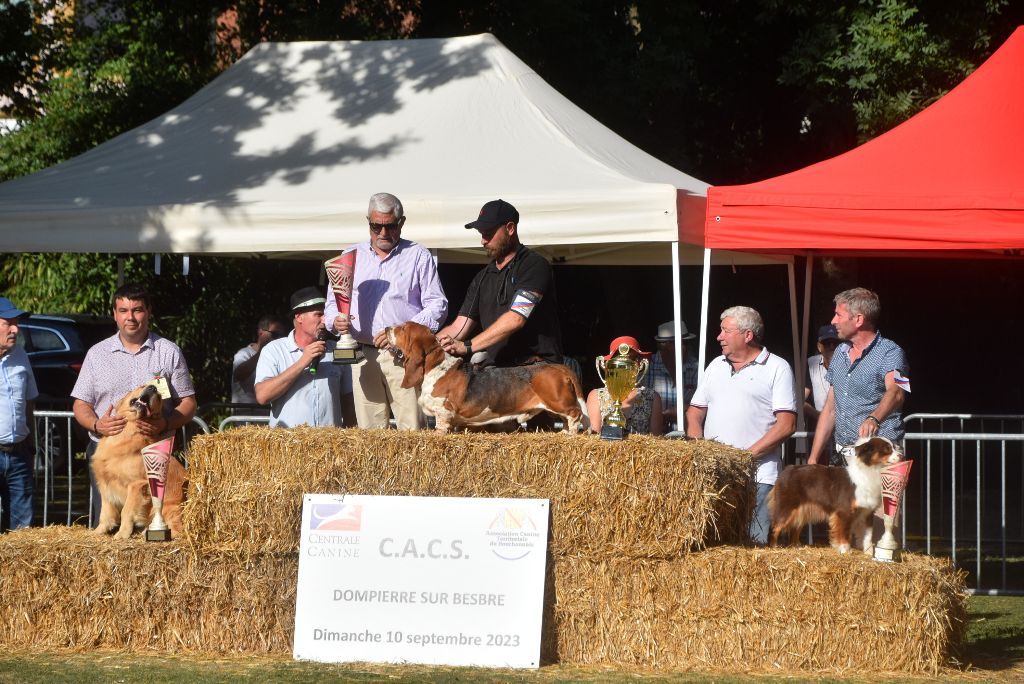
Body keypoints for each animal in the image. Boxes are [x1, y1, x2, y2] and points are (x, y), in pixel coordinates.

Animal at [770, 436, 905, 552]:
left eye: (894, 447)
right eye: (886, 449)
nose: (902, 456)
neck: (870, 471)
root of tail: (788, 469)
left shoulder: (867, 511)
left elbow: (867, 534)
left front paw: (868, 552)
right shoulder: (844, 511)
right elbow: (844, 531)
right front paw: (845, 550)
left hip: (801, 510)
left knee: (795, 528)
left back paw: (796, 547)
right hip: (787, 508)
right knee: (775, 527)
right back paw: (773, 547)